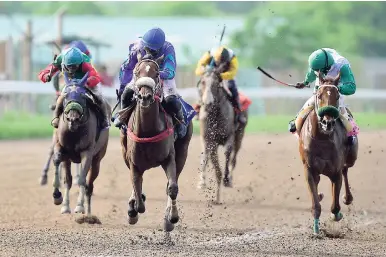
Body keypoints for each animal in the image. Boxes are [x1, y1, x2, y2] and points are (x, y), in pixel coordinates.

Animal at [51, 71, 110, 221]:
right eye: (65, 95)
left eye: (83, 96)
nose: (73, 118)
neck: (74, 130)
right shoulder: (62, 150)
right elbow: (62, 170)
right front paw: (59, 199)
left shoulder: (87, 152)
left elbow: (82, 179)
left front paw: (79, 206)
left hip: (97, 159)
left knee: (90, 184)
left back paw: (89, 215)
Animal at [117, 53, 193, 231]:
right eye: (136, 73)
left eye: (157, 74)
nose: (145, 96)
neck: (147, 131)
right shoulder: (134, 162)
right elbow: (137, 190)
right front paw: (133, 208)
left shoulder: (169, 158)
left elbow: (172, 188)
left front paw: (171, 218)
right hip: (124, 152)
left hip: (183, 152)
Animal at [198, 69, 249, 203]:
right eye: (203, 82)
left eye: (216, 84)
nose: (207, 103)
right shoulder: (209, 139)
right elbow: (207, 158)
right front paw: (203, 182)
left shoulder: (229, 137)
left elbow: (227, 154)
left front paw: (226, 179)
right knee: (205, 156)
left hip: (240, 135)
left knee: (234, 157)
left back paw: (230, 177)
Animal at [298, 72, 358, 234]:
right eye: (319, 96)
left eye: (337, 96)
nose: (328, 122)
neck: (322, 138)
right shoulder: (309, 169)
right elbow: (315, 205)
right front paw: (316, 230)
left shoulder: (335, 172)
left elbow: (335, 206)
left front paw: (336, 215)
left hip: (352, 157)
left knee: (346, 169)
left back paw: (347, 198)